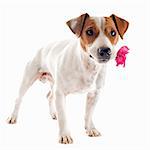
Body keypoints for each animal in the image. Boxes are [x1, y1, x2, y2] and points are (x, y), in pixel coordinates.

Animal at [7, 13, 129, 144]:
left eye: (113, 33)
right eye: (89, 32)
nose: (105, 50)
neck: (86, 65)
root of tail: (43, 47)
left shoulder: (94, 94)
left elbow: (89, 114)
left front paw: (90, 128)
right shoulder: (60, 93)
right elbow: (63, 117)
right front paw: (65, 135)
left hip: (53, 83)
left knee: (49, 96)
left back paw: (54, 113)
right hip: (28, 78)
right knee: (19, 99)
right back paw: (13, 117)